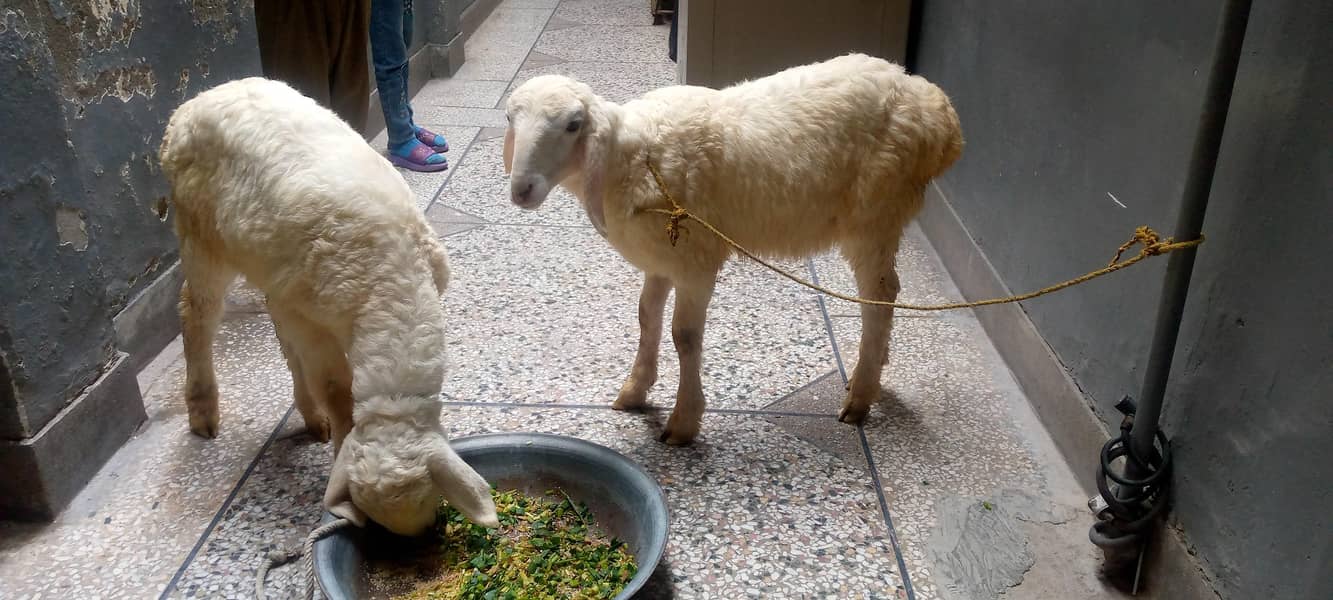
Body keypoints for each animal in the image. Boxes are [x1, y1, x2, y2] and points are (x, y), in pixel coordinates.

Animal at [159, 77, 498, 536]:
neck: (392, 289)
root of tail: (197, 101)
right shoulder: (311, 318)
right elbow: (337, 390)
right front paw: (338, 436)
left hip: (268, 264)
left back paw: (308, 416)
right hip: (200, 230)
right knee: (197, 311)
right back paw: (203, 411)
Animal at [502, 53, 963, 445]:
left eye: (573, 124)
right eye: (509, 118)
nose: (521, 190)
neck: (635, 158)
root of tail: (934, 105)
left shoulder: (696, 261)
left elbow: (684, 336)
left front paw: (683, 422)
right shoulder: (661, 260)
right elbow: (647, 319)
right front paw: (635, 390)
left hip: (875, 213)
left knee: (879, 296)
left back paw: (861, 395)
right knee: (885, 293)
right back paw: (872, 375)